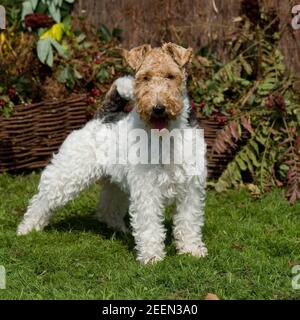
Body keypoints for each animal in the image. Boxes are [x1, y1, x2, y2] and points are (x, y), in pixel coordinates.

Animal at [16, 42, 207, 264]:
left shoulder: (190, 188)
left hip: (116, 182)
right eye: (145, 77)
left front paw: (192, 250)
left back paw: (120, 229)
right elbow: (150, 225)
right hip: (68, 175)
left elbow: (189, 223)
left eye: (171, 76)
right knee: (41, 201)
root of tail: (102, 116)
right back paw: (26, 229)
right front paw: (151, 257)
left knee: (107, 208)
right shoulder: (147, 188)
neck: (167, 136)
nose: (158, 108)